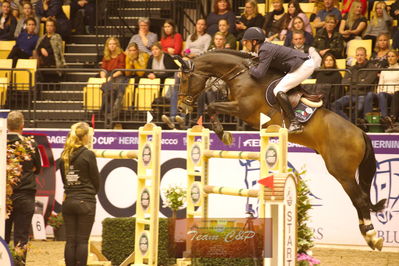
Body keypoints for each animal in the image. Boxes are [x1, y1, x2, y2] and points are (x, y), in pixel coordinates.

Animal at [177, 48, 388, 250]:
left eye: (185, 79)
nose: (180, 109)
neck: (241, 74)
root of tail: (360, 133)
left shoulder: (243, 108)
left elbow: (211, 106)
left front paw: (223, 134)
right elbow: (212, 107)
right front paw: (222, 132)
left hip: (342, 172)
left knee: (360, 199)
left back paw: (372, 236)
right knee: (359, 199)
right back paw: (367, 234)